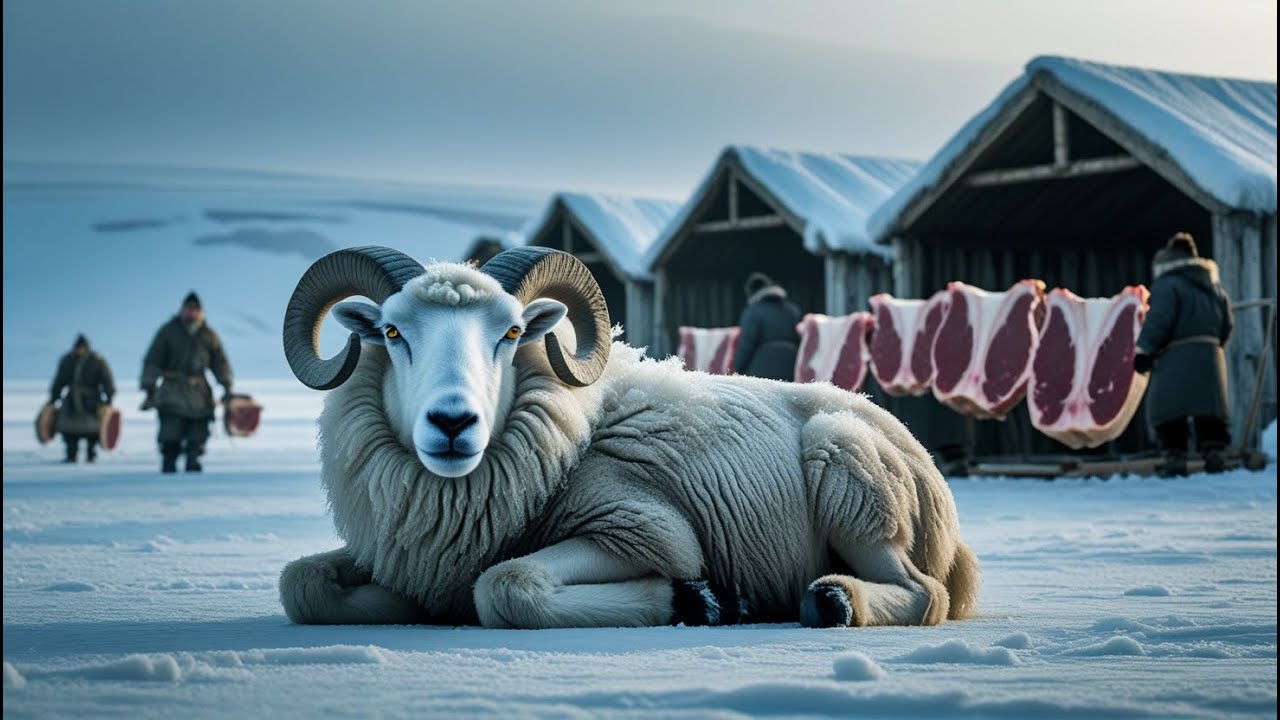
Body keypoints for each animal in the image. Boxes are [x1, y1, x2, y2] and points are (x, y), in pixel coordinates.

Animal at [278, 245, 980, 629]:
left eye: (512, 333)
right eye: (392, 333)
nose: (452, 423)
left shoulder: (643, 528)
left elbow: (505, 585)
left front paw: (700, 600)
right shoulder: (399, 557)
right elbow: (301, 584)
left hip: (852, 482)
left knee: (925, 593)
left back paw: (832, 600)